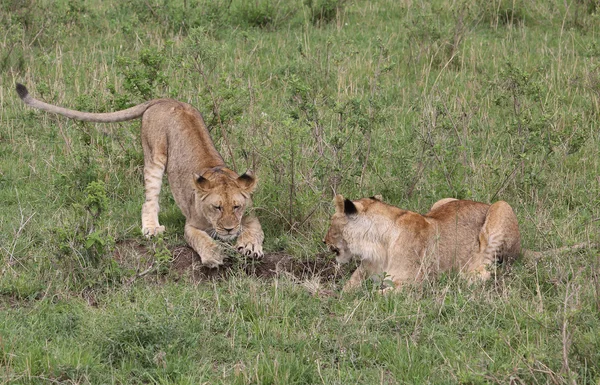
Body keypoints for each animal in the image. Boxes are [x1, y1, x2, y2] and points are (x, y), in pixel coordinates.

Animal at [16, 82, 262, 266]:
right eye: (216, 207)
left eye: (236, 207)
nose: (229, 229)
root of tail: (164, 100)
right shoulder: (191, 224)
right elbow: (201, 239)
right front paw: (213, 254)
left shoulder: (248, 214)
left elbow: (255, 227)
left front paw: (251, 246)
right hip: (154, 157)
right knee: (149, 201)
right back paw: (152, 229)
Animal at [324, 195, 520, 292]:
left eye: (331, 223)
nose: (323, 241)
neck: (377, 246)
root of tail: (484, 203)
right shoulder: (361, 274)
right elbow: (346, 290)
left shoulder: (413, 283)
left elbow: (377, 295)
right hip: (443, 200)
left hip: (501, 206)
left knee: (489, 265)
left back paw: (467, 276)